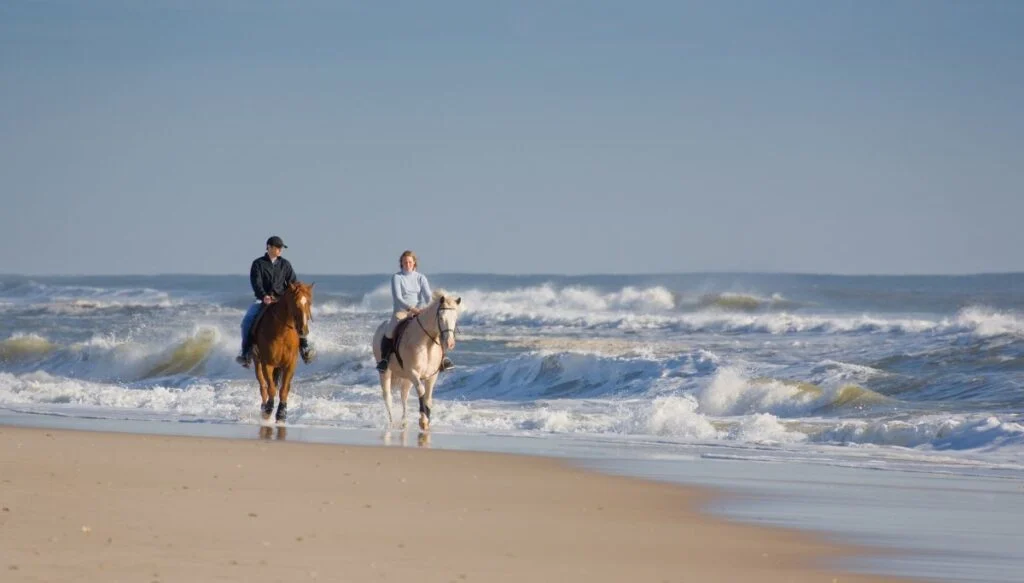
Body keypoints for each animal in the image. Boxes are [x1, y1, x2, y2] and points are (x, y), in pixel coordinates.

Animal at [251, 281, 315, 424]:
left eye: (309, 302)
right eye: (295, 303)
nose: (303, 330)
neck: (282, 334)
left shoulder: (290, 365)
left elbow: (284, 389)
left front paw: (281, 413)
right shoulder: (267, 364)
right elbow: (271, 388)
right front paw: (268, 410)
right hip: (257, 362)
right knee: (263, 386)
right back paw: (264, 407)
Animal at [372, 291, 461, 431]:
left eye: (455, 318)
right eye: (441, 318)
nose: (450, 343)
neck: (427, 344)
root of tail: (381, 327)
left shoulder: (432, 376)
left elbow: (428, 397)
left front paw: (427, 421)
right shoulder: (413, 373)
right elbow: (422, 391)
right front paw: (423, 420)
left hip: (406, 378)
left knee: (404, 396)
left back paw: (404, 422)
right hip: (386, 373)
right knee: (387, 396)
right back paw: (391, 424)